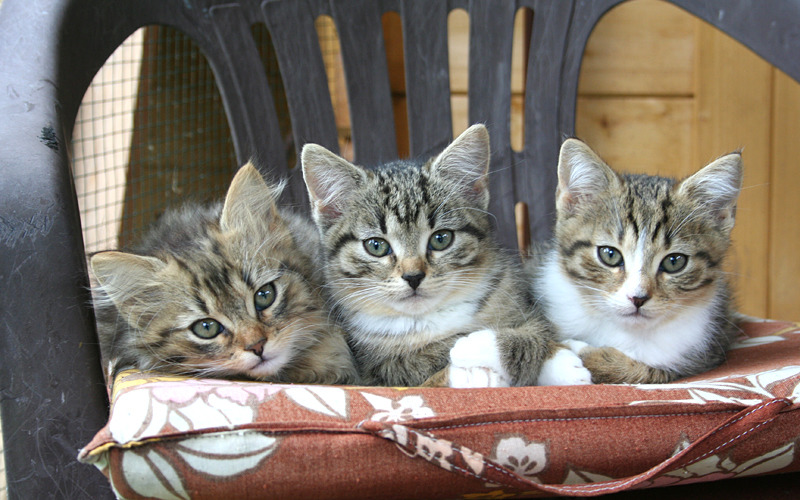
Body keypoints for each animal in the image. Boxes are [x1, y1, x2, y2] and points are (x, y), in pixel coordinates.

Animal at [300, 124, 588, 386]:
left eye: (441, 239)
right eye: (376, 246)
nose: (413, 276)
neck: (427, 319)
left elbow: (535, 327)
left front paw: (558, 358)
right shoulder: (375, 369)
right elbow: (430, 356)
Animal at [532, 139, 744, 384]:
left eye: (674, 261)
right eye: (610, 254)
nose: (638, 298)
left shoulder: (703, 355)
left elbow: (645, 371)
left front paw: (586, 354)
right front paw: (561, 362)